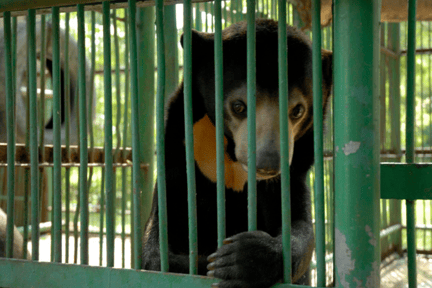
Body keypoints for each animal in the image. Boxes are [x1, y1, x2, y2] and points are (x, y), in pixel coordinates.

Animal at [140, 18, 332, 288]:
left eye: (298, 111)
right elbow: (158, 249)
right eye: (238, 106)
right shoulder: (179, 157)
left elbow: (301, 228)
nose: (267, 164)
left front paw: (242, 260)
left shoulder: (293, 174)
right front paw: (211, 264)